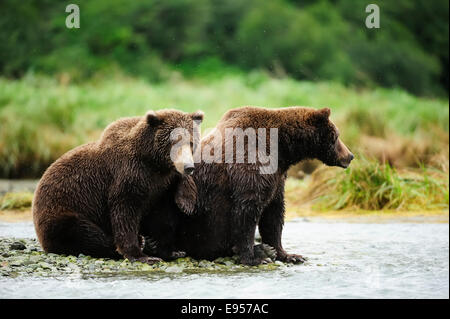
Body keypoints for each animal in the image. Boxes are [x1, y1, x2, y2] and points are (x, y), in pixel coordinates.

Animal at [33, 110, 204, 264]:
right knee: (81, 232)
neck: (153, 164)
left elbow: (163, 215)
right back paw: (140, 241)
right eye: (174, 141)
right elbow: (125, 212)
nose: (188, 167)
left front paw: (173, 249)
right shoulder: (128, 175)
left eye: (191, 142)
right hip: (64, 209)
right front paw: (141, 255)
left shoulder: (160, 186)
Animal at [142, 106, 354, 266]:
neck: (280, 149)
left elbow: (274, 214)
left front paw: (289, 254)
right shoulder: (248, 163)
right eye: (337, 135)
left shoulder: (277, 177)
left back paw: (264, 249)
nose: (350, 156)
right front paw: (252, 257)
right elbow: (247, 209)